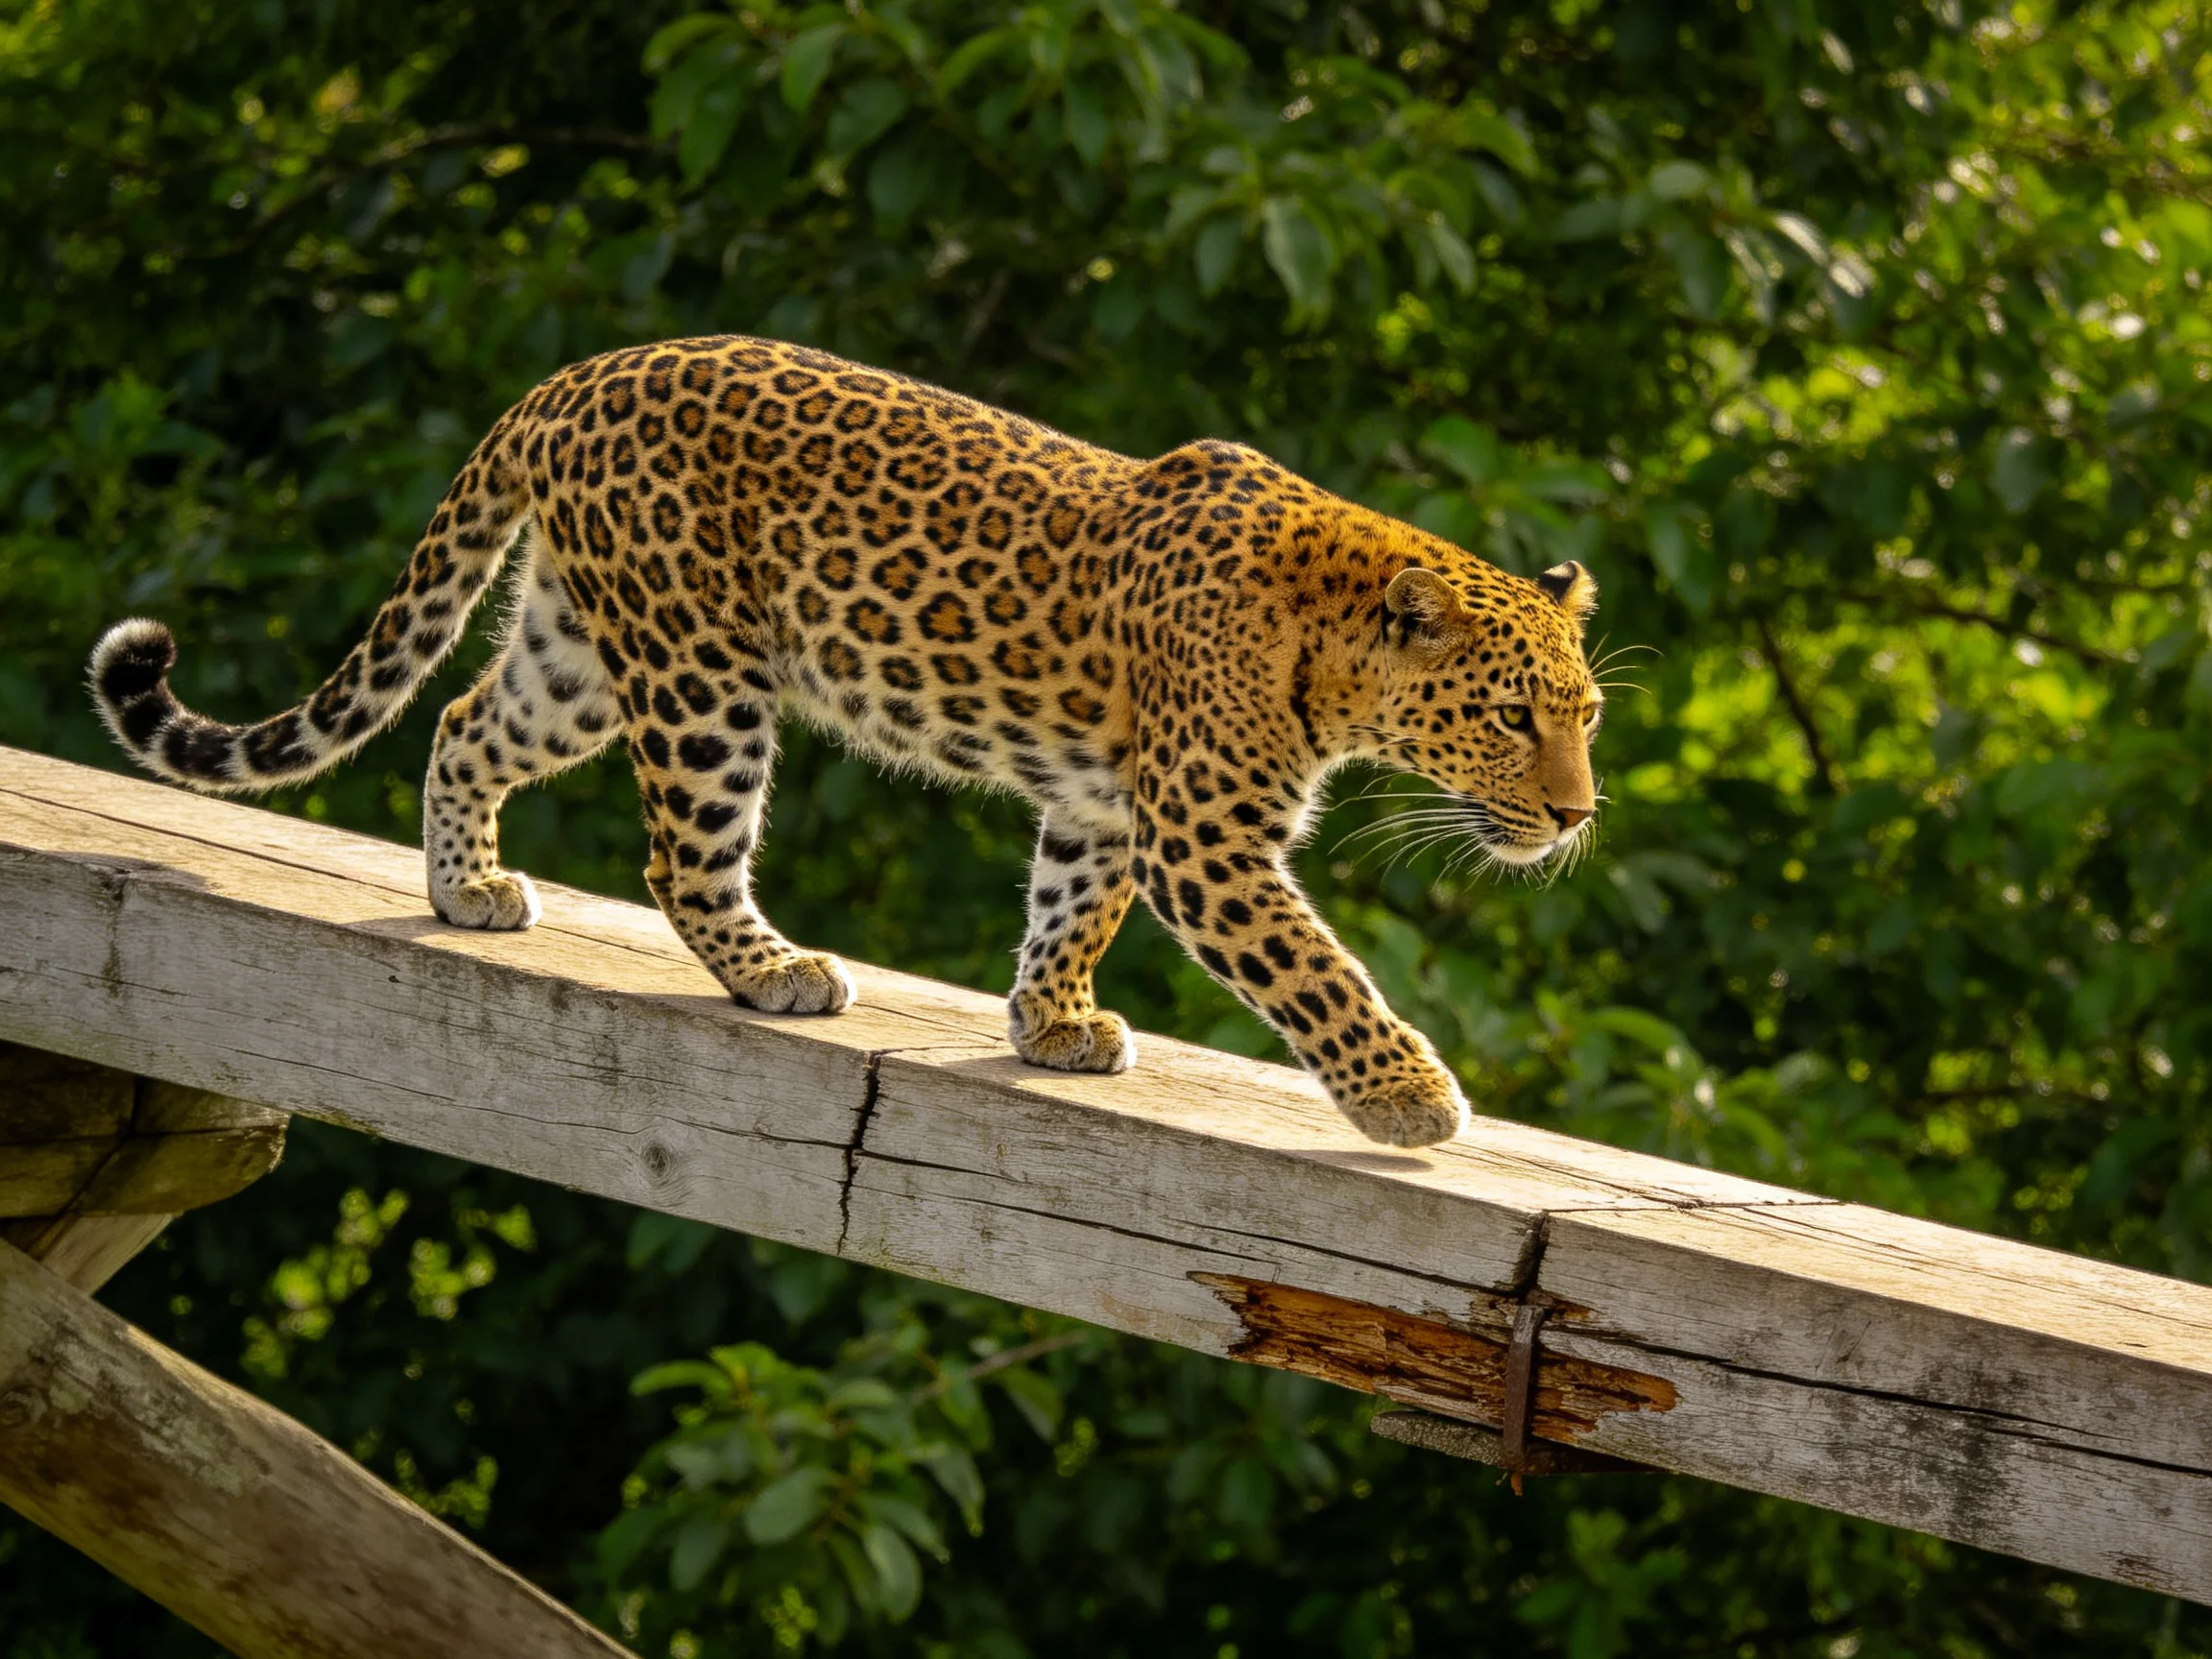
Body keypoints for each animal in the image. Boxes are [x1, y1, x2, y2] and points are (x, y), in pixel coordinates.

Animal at [89, 335, 1604, 1147]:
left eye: (1586, 717)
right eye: (1512, 716)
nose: (1578, 814)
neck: (1333, 654)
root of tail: (576, 374)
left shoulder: (1109, 805)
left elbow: (1071, 906)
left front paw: (1052, 1023)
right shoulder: (1205, 840)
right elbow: (1315, 972)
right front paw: (1410, 1098)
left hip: (579, 652)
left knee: (464, 722)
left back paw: (467, 890)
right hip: (702, 676)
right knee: (682, 859)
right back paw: (779, 974)